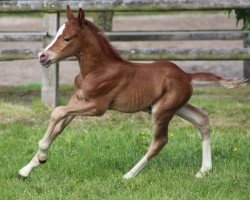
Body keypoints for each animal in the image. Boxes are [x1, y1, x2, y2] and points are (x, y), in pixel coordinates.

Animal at [18, 6, 245, 179]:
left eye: (67, 38)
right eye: (57, 34)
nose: (43, 56)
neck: (98, 69)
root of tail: (187, 75)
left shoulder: (97, 107)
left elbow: (57, 111)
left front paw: (41, 156)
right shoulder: (78, 100)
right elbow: (58, 125)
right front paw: (28, 168)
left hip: (162, 111)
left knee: (160, 142)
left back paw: (128, 175)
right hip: (174, 107)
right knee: (202, 119)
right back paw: (203, 171)